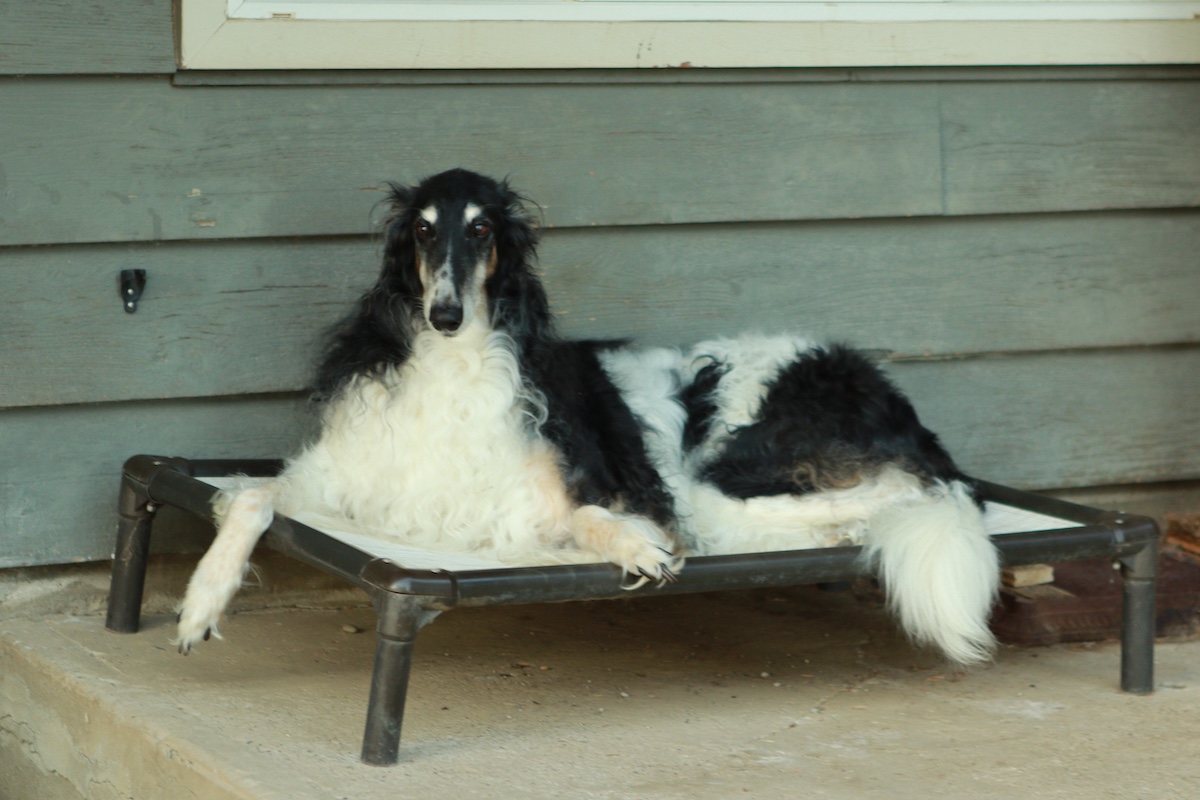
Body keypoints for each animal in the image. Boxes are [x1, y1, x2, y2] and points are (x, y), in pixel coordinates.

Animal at [175, 168, 1000, 666]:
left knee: (897, 495)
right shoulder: (343, 483)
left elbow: (595, 517)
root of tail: (891, 396)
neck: (453, 366)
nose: (445, 314)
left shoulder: (545, 505)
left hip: (721, 477)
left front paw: (635, 546)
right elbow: (248, 496)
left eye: (482, 230)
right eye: (422, 230)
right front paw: (199, 603)